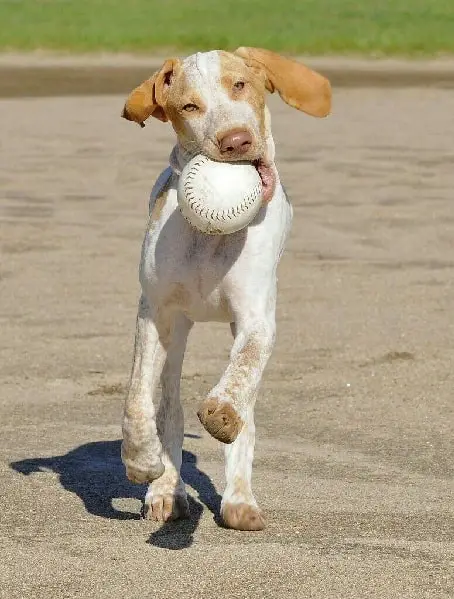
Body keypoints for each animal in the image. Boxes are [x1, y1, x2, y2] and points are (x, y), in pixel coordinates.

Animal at [120, 49, 332, 532]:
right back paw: (167, 491)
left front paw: (222, 413)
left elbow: (241, 376)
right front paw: (142, 462)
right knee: (169, 408)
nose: (236, 141)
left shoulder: (256, 318)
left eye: (241, 85)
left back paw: (239, 500)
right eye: (189, 106)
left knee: (245, 406)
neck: (211, 239)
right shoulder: (155, 313)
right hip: (178, 335)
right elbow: (139, 397)